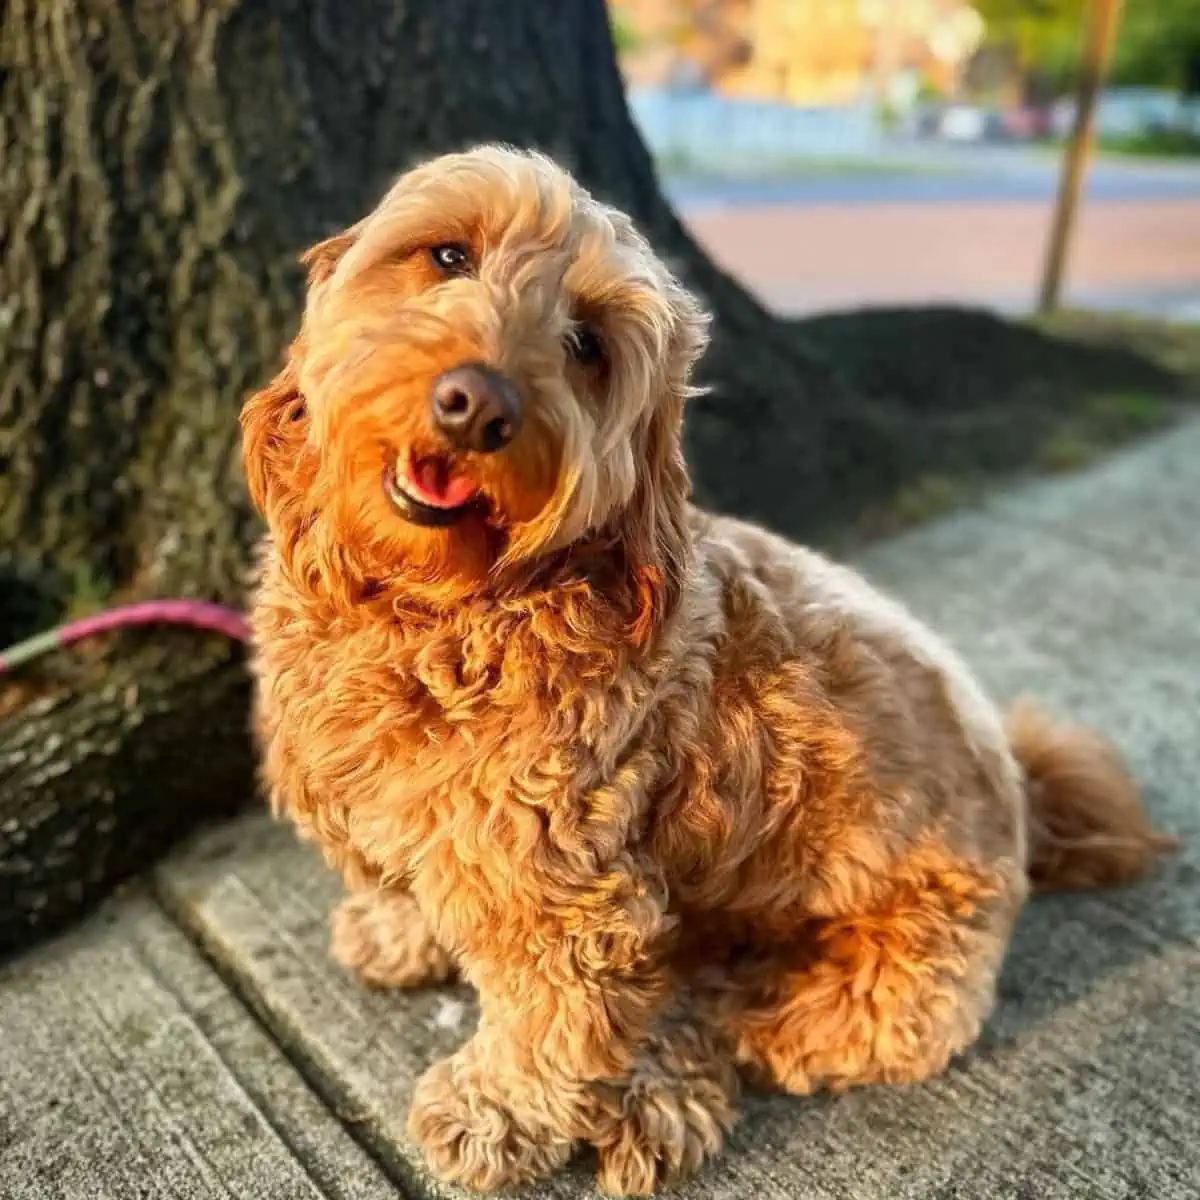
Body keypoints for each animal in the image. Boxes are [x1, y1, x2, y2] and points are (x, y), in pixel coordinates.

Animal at [241, 145, 1171, 1195]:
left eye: (588, 345)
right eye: (447, 255)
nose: (476, 404)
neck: (448, 608)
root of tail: (1023, 792)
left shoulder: (568, 893)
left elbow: (547, 1023)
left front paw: (494, 1116)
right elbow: (410, 878)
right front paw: (400, 930)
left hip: (874, 988)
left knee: (732, 1019)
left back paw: (657, 1095)